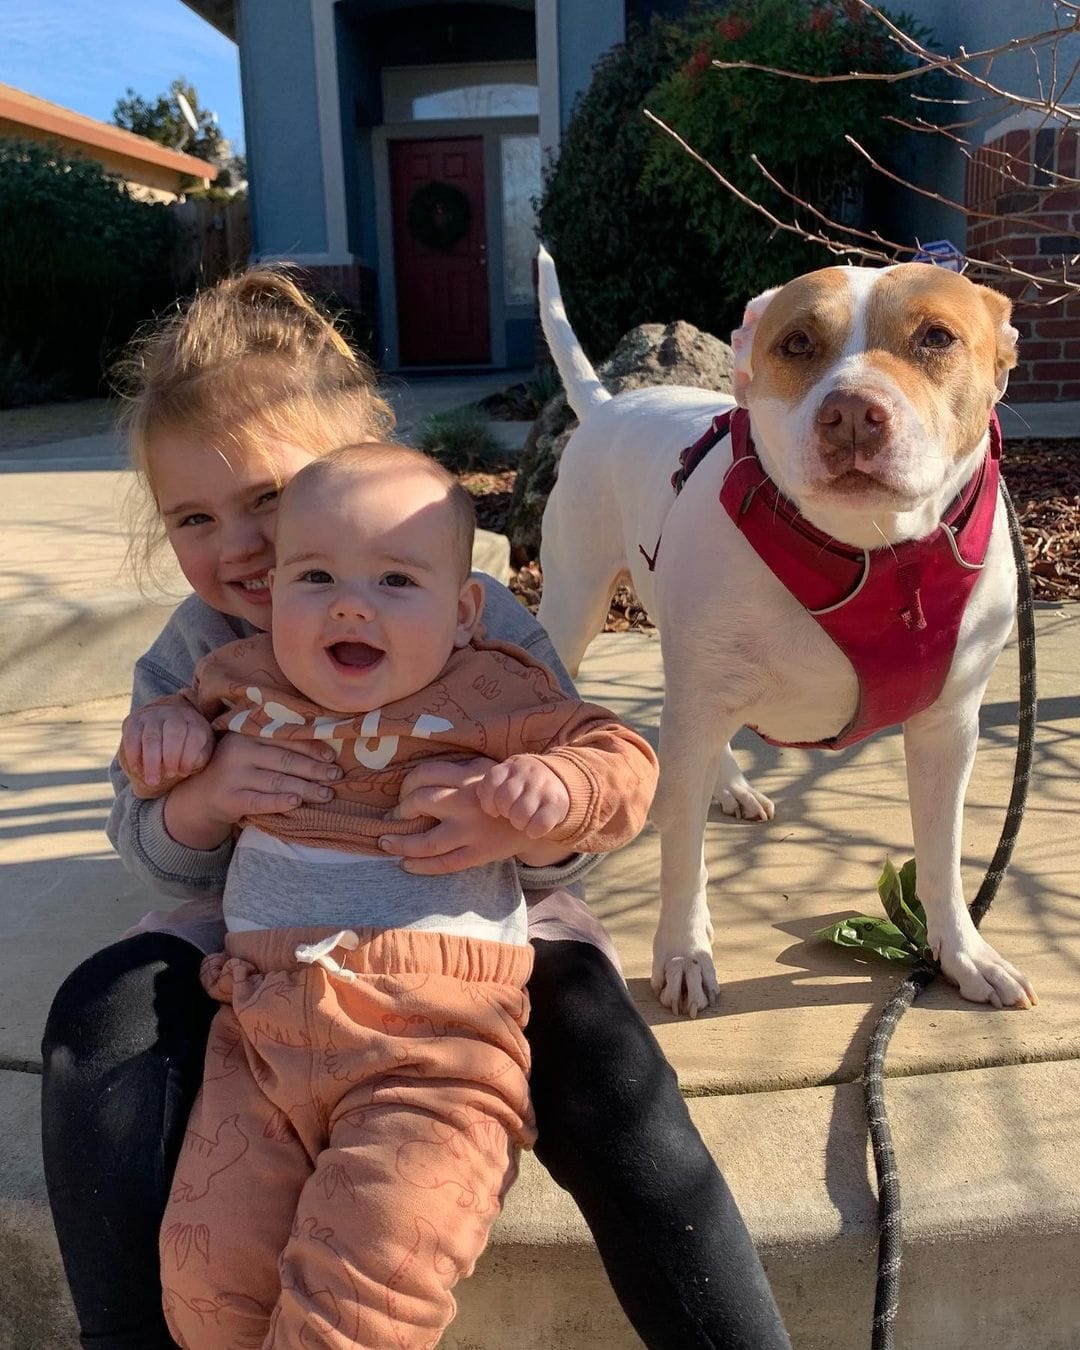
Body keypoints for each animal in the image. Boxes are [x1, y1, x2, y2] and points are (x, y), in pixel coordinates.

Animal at [537, 248, 1036, 1015]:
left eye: (937, 338)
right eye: (797, 343)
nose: (853, 413)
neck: (872, 553)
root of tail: (608, 402)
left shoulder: (948, 728)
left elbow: (944, 855)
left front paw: (964, 953)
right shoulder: (701, 702)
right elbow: (681, 854)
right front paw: (682, 952)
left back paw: (732, 784)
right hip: (575, 606)